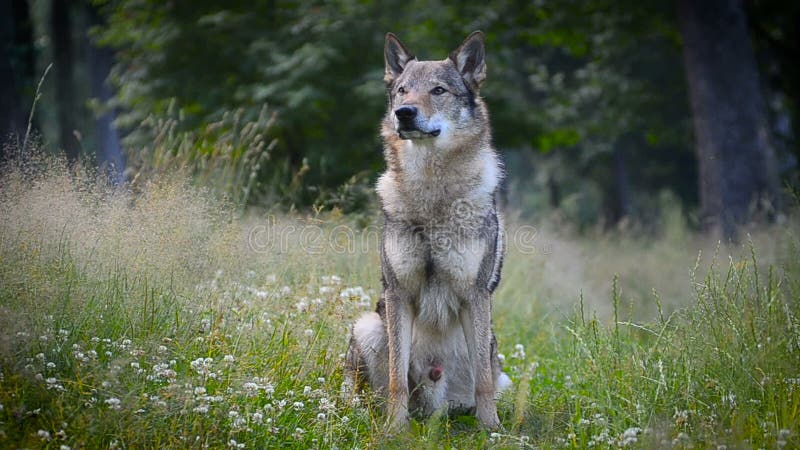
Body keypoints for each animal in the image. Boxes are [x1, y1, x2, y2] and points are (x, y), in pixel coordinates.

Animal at [346, 31, 512, 428]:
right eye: (403, 91)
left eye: (438, 90)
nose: (403, 113)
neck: (432, 195)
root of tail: (434, 403)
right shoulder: (398, 293)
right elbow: (397, 379)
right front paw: (394, 429)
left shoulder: (474, 295)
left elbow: (484, 382)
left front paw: (492, 428)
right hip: (367, 325)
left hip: (494, 355)